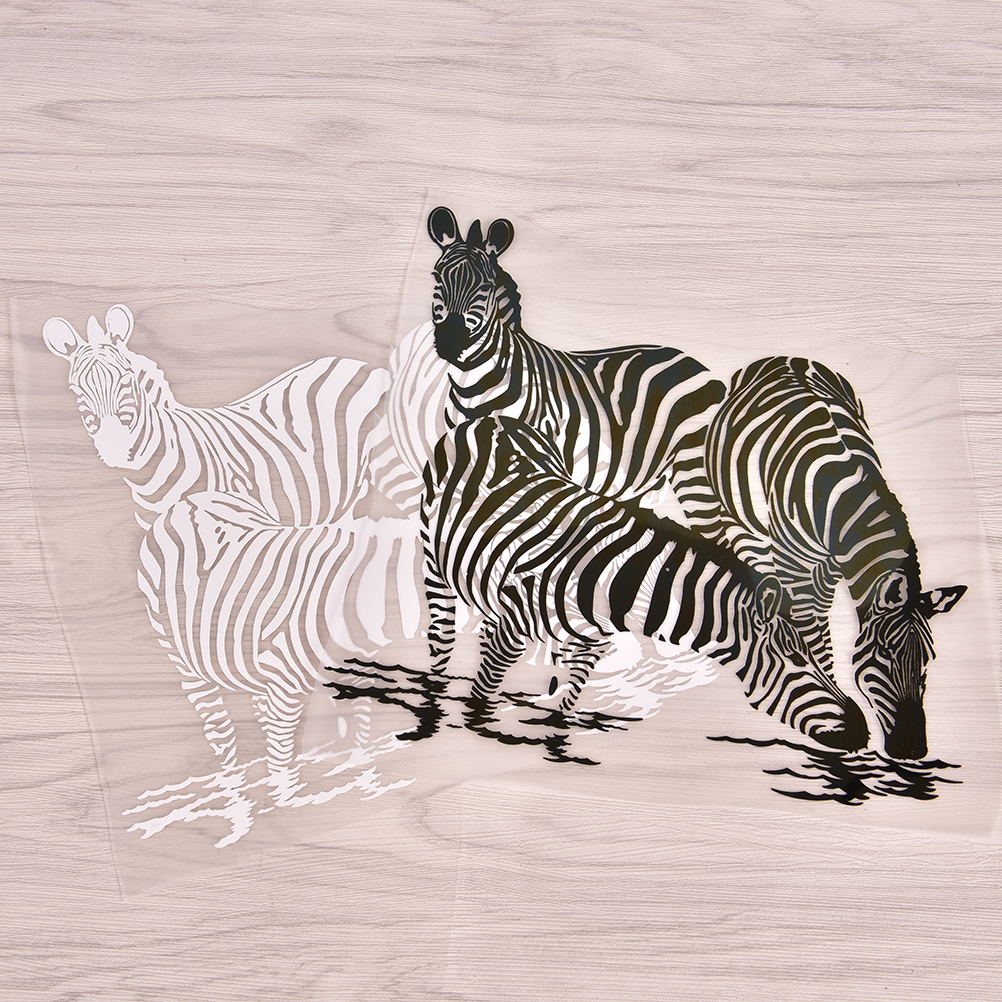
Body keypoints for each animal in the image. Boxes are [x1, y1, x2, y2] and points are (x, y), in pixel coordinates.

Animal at [422, 415, 869, 750]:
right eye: (796, 660)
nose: (863, 732)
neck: (616, 583)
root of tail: (493, 418)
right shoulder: (512, 631)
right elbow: (479, 705)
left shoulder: (589, 648)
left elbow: (563, 711)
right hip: (432, 556)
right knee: (441, 636)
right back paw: (431, 705)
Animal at [423, 205, 728, 529]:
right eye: (436, 277)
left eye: (486, 286)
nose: (451, 341)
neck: (474, 385)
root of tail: (694, 362)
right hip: (643, 478)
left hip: (691, 467)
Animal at [703, 355, 966, 760]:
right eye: (884, 654)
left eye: (927, 662)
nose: (912, 749)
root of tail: (784, 357)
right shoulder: (796, 567)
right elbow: (812, 635)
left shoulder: (829, 569)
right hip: (737, 517)